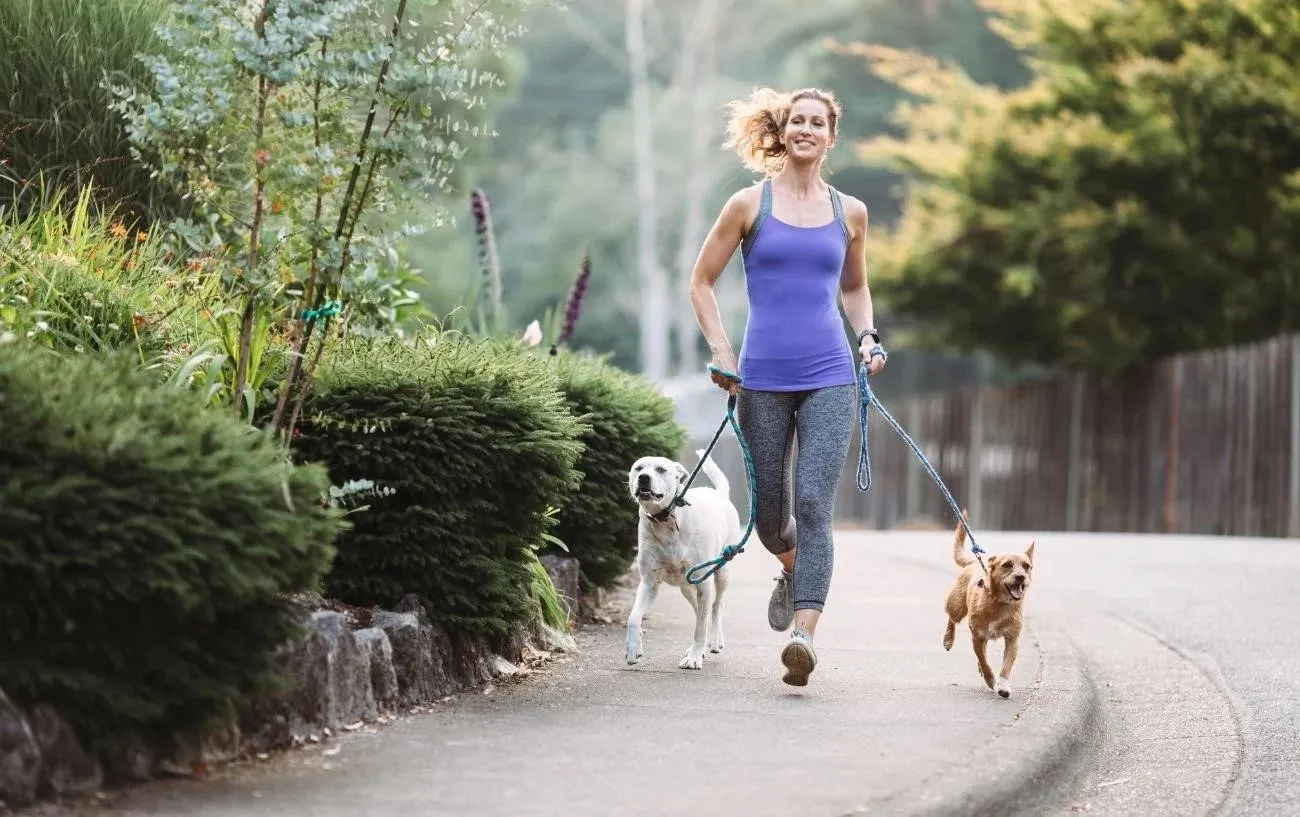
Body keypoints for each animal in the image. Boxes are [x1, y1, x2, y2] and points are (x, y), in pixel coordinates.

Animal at [624, 447, 738, 671]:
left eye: (661, 469)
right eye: (638, 468)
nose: (643, 478)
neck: (666, 521)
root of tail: (718, 494)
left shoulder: (704, 581)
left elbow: (700, 626)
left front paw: (694, 658)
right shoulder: (649, 583)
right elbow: (633, 617)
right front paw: (634, 649)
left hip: (721, 572)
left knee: (715, 606)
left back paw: (714, 640)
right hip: (687, 586)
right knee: (700, 609)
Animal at [946, 509, 1034, 697]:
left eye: (1026, 566)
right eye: (1007, 565)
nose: (1021, 577)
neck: (999, 603)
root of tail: (974, 561)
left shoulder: (1012, 639)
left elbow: (1006, 666)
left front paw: (1002, 685)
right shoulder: (977, 637)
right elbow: (985, 662)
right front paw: (990, 679)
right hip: (956, 606)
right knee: (951, 618)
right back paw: (948, 639)